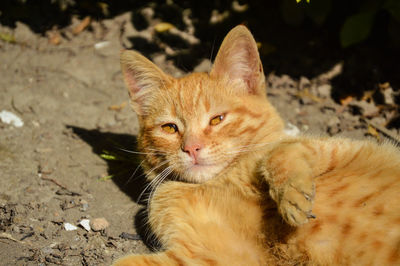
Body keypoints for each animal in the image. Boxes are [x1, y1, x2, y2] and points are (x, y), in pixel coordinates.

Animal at [114, 25, 400, 266]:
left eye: (217, 119)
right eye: (170, 128)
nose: (192, 148)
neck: (224, 179)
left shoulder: (342, 148)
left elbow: (280, 152)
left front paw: (292, 195)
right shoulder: (215, 255)